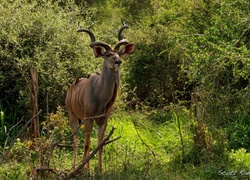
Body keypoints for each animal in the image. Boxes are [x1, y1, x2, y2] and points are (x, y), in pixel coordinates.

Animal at [64, 23, 135, 172]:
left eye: (119, 53)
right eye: (108, 55)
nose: (118, 61)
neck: (101, 97)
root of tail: (71, 88)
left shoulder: (103, 120)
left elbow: (99, 145)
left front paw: (100, 170)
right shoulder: (89, 118)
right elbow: (87, 144)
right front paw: (84, 170)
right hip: (72, 115)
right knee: (76, 140)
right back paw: (74, 168)